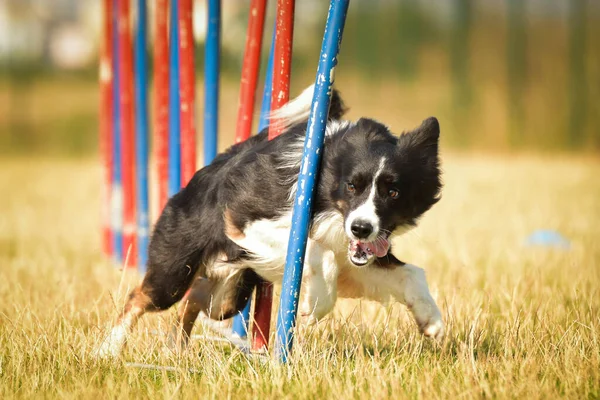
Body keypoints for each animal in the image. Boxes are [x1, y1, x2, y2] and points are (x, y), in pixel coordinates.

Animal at [98, 86, 442, 358]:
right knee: (142, 297)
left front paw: (432, 320)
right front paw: (315, 304)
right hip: (176, 268)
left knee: (195, 299)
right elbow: (317, 251)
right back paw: (108, 350)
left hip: (230, 293)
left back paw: (178, 351)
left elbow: (410, 273)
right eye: (352, 186)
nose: (361, 227)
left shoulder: (354, 258)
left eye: (393, 192)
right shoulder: (245, 221)